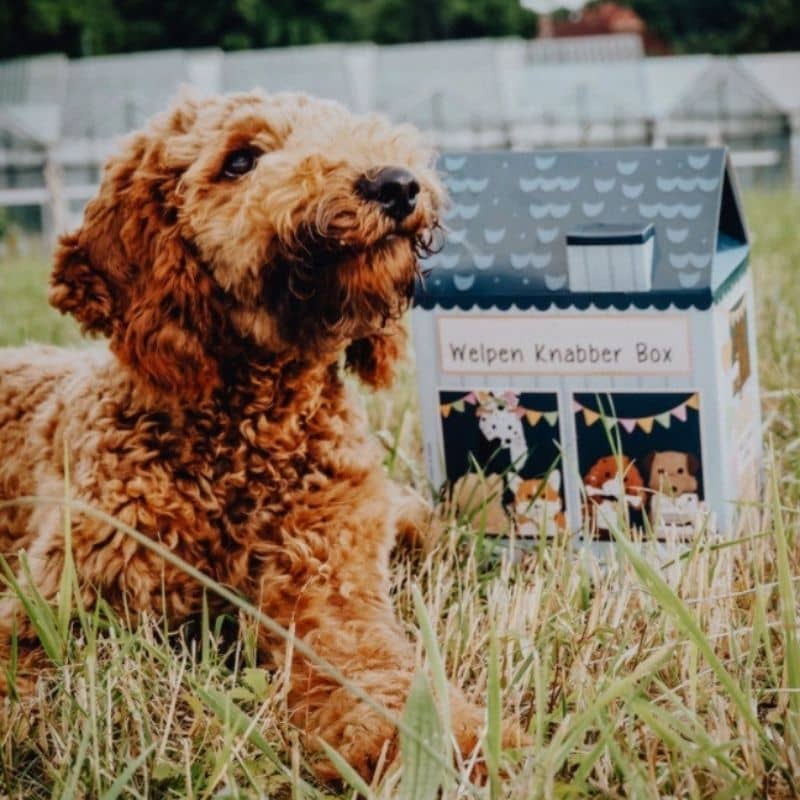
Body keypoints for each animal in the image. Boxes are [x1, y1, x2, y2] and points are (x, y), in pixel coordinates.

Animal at [0, 89, 524, 780]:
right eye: (240, 159)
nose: (396, 183)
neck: (245, 439)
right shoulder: (57, 600)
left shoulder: (332, 594)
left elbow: (376, 675)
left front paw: (453, 745)